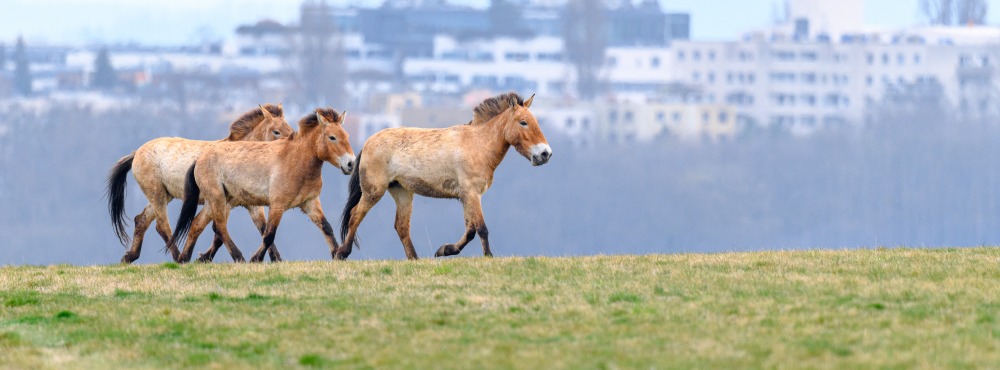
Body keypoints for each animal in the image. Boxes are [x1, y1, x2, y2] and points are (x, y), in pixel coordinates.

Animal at [106, 104, 292, 264]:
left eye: (290, 129)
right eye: (276, 131)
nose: (288, 148)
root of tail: (137, 152)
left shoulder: (250, 205)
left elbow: (262, 228)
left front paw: (274, 259)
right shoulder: (222, 202)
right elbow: (215, 230)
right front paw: (206, 257)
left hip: (164, 195)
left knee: (142, 220)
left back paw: (130, 256)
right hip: (156, 193)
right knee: (162, 225)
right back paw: (177, 257)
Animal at [169, 107, 360, 264]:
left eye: (347, 136)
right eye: (332, 137)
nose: (351, 163)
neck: (296, 160)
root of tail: (200, 158)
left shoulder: (310, 202)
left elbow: (326, 227)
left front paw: (338, 254)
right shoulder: (276, 205)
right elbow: (268, 235)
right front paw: (257, 258)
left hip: (217, 200)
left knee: (197, 224)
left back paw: (184, 258)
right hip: (218, 199)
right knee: (219, 227)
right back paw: (238, 257)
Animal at [340, 92, 552, 260]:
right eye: (523, 122)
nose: (545, 153)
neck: (478, 144)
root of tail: (367, 142)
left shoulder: (466, 196)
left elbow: (470, 230)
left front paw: (445, 250)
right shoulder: (472, 194)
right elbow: (481, 228)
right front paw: (488, 256)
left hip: (402, 192)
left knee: (401, 226)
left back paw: (415, 259)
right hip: (374, 191)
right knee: (355, 215)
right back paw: (342, 252)